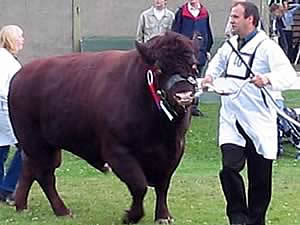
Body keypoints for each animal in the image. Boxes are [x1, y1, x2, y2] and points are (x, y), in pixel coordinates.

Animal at [9, 31, 200, 223]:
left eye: (194, 66)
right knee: (45, 175)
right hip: (37, 144)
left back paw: (21, 206)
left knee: (29, 169)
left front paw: (163, 216)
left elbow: (163, 185)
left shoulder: (174, 151)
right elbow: (139, 185)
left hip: (42, 147)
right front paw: (131, 216)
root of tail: (20, 75)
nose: (184, 96)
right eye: (159, 69)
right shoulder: (117, 151)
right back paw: (62, 210)